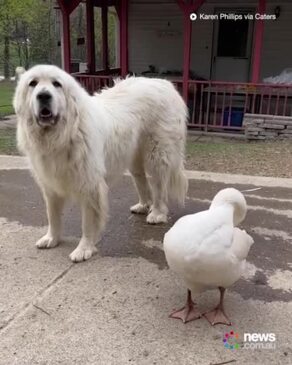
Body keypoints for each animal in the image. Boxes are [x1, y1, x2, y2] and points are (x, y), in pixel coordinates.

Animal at [13, 64, 187, 262]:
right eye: (32, 83)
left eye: (56, 84)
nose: (43, 95)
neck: (63, 134)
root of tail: (165, 84)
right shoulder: (50, 184)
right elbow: (52, 215)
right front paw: (52, 238)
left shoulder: (90, 186)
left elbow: (88, 222)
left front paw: (84, 249)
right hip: (133, 155)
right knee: (141, 180)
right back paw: (143, 205)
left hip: (157, 155)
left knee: (159, 187)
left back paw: (157, 213)